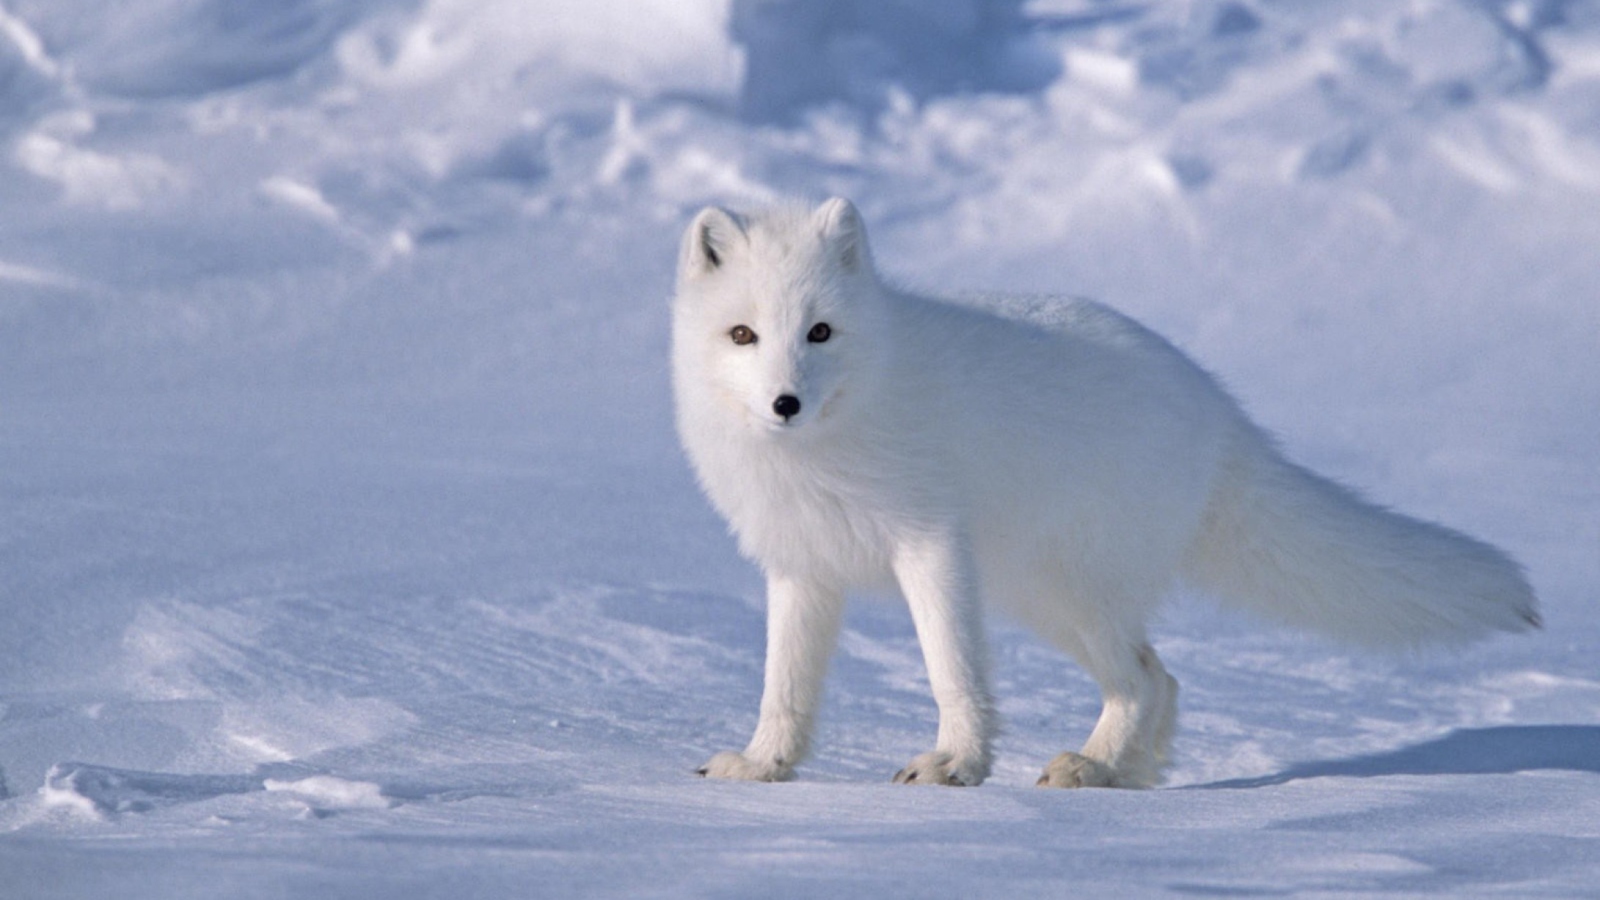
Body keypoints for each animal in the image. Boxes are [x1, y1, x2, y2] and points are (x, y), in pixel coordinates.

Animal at [672, 197, 1536, 784]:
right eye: (744, 335)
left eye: (820, 331)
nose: (785, 402)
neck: (828, 443)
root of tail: (1220, 411)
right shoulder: (801, 567)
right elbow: (784, 686)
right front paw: (763, 766)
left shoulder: (930, 545)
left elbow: (953, 669)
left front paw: (955, 764)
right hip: (1045, 597)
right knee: (1163, 678)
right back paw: (1123, 773)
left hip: (1065, 590)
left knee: (1147, 677)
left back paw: (1094, 767)